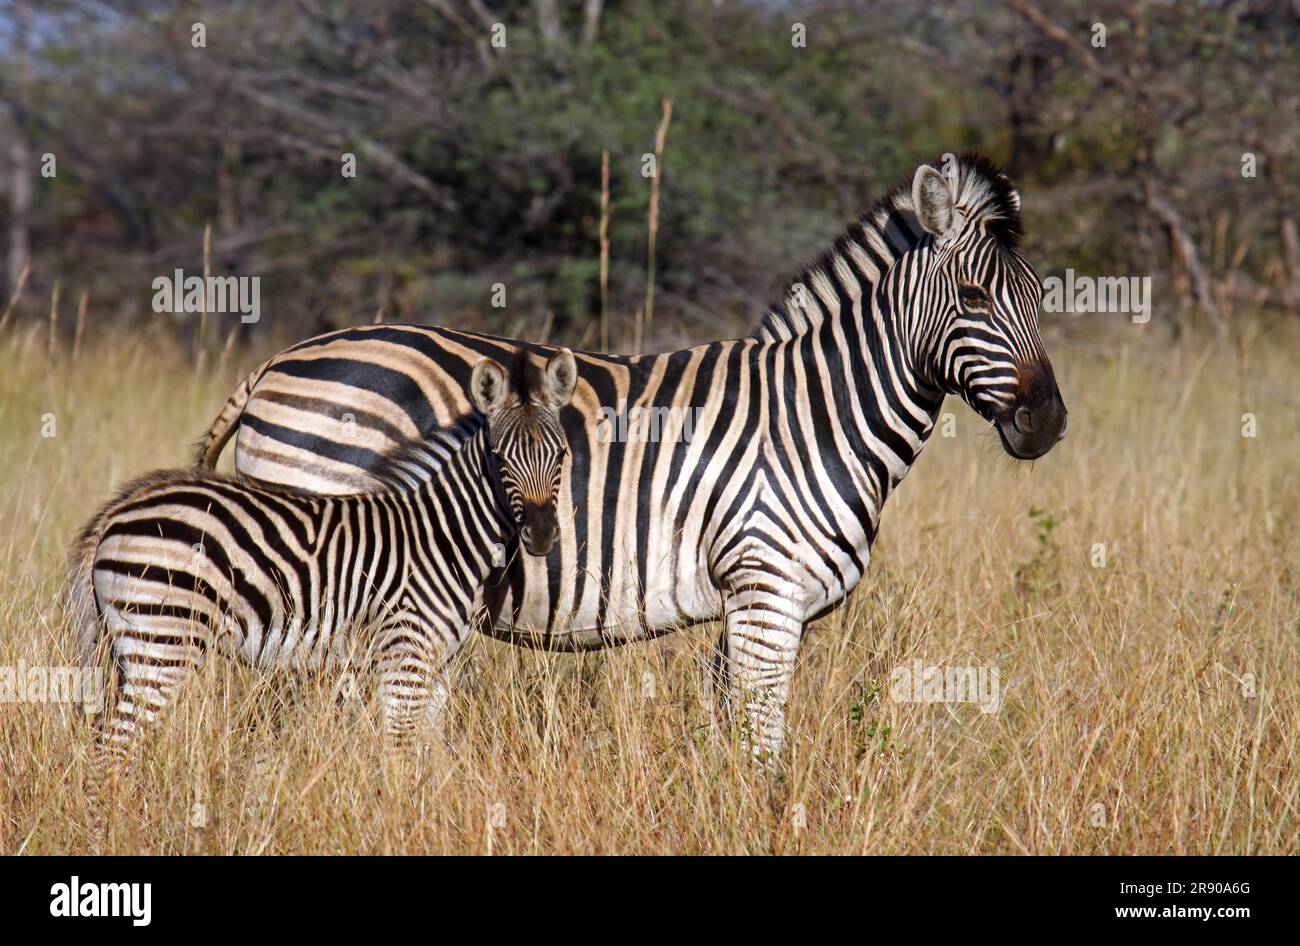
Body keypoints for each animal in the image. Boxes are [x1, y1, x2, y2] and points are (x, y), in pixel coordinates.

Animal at [67, 349, 577, 783]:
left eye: (562, 455)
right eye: (499, 458)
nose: (541, 535)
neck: (445, 534)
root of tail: (120, 509)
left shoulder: (435, 663)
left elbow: (427, 757)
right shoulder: (405, 654)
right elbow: (398, 752)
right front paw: (397, 816)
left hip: (129, 645)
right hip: (163, 640)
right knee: (112, 749)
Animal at [194, 153, 1067, 759]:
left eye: (1037, 297)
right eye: (975, 298)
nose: (1048, 422)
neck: (818, 415)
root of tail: (278, 362)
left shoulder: (743, 600)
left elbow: (728, 732)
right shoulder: (767, 587)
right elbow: (764, 741)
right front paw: (763, 819)